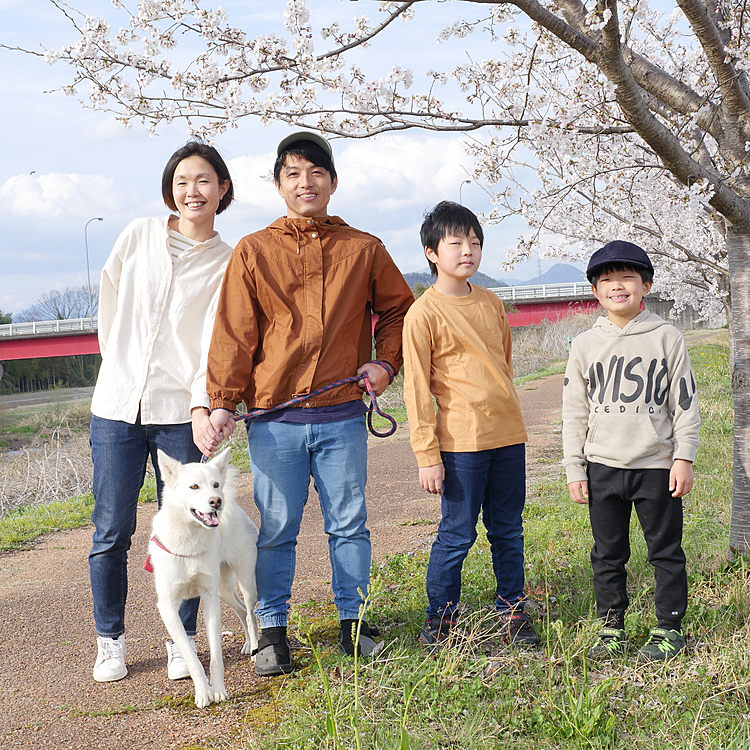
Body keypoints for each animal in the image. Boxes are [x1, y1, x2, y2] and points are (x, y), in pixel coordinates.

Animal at [148, 452, 262, 712]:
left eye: (215, 484)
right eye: (194, 487)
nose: (216, 501)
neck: (188, 542)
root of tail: (233, 507)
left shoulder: (210, 601)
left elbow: (216, 656)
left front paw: (218, 691)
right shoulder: (168, 607)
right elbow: (191, 659)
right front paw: (202, 692)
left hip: (245, 583)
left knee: (251, 614)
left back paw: (254, 648)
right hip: (224, 591)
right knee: (242, 611)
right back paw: (247, 644)